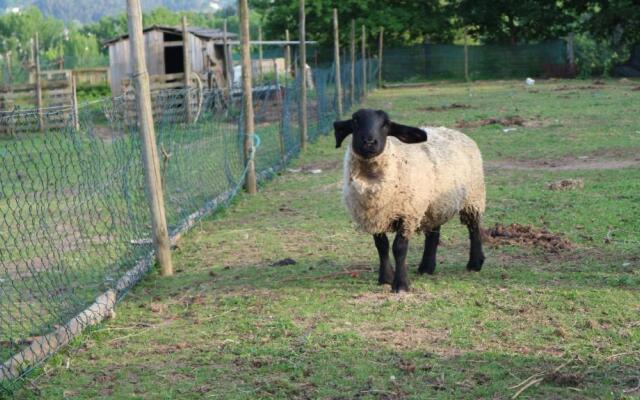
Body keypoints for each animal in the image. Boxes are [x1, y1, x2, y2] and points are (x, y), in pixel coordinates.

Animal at [336, 108, 484, 292]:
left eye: (386, 124)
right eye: (355, 121)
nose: (369, 142)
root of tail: (455, 131)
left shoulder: (407, 214)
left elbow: (399, 248)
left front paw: (401, 284)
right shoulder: (375, 215)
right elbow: (382, 246)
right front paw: (385, 278)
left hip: (473, 197)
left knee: (474, 227)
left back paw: (475, 263)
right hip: (434, 203)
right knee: (433, 232)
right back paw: (426, 267)